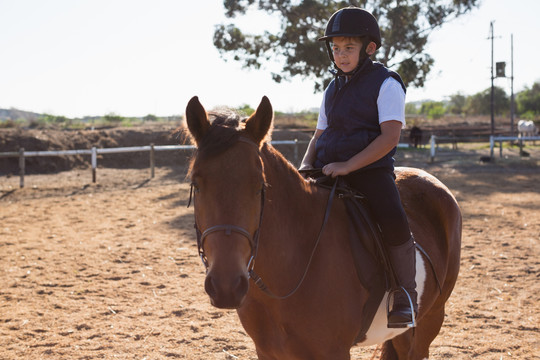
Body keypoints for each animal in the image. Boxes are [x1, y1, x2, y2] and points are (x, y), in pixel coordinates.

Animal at [185, 95, 460, 360]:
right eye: (196, 184)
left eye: (259, 186)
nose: (226, 287)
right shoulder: (267, 352)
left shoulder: (333, 352)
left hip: (428, 322)